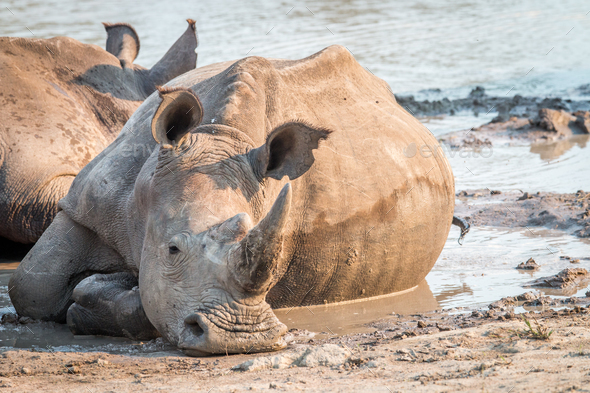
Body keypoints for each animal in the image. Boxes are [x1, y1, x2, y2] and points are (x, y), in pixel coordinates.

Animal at [11, 46, 460, 356]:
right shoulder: (89, 200)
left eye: (274, 268)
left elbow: (144, 302)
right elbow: (31, 286)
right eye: (172, 249)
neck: (218, 138)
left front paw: (94, 294)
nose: (242, 338)